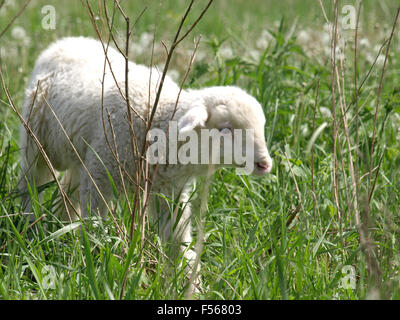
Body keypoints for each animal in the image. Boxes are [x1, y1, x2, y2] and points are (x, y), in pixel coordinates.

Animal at [20, 37, 274, 290]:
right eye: (225, 130)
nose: (265, 163)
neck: (159, 120)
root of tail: (65, 41)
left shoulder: (167, 191)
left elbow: (178, 241)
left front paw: (190, 284)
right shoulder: (101, 175)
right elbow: (95, 224)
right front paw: (94, 260)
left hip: (81, 156)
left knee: (67, 194)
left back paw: (59, 228)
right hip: (35, 140)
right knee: (30, 185)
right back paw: (29, 227)